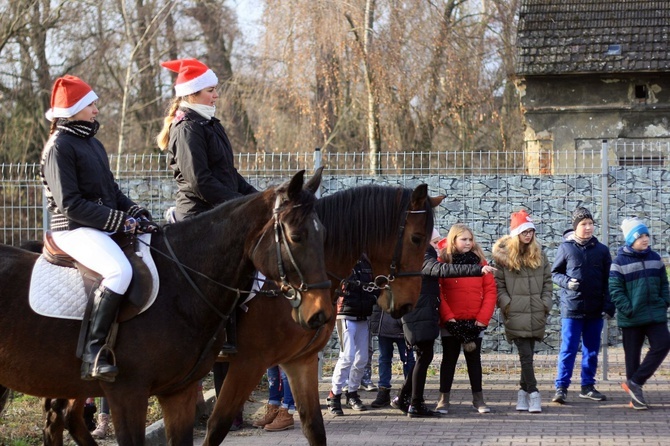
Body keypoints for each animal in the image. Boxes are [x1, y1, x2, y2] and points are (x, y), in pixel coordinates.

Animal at [0, 170, 334, 446]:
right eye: (296, 237)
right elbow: (217, 424)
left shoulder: (180, 392)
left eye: (323, 236)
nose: (320, 314)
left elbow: (313, 427)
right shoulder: (128, 395)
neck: (181, 281)